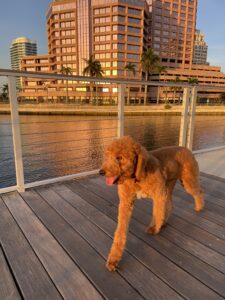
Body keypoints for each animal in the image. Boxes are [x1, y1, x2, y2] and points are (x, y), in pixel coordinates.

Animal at [99, 136, 205, 272]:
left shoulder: (159, 194)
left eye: (119, 157)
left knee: (198, 192)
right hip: (169, 184)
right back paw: (164, 222)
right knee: (170, 204)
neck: (136, 177)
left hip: (187, 181)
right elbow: (120, 232)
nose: (101, 172)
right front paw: (114, 259)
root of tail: (187, 149)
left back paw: (199, 207)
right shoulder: (125, 203)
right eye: (107, 156)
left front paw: (155, 228)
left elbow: (157, 212)